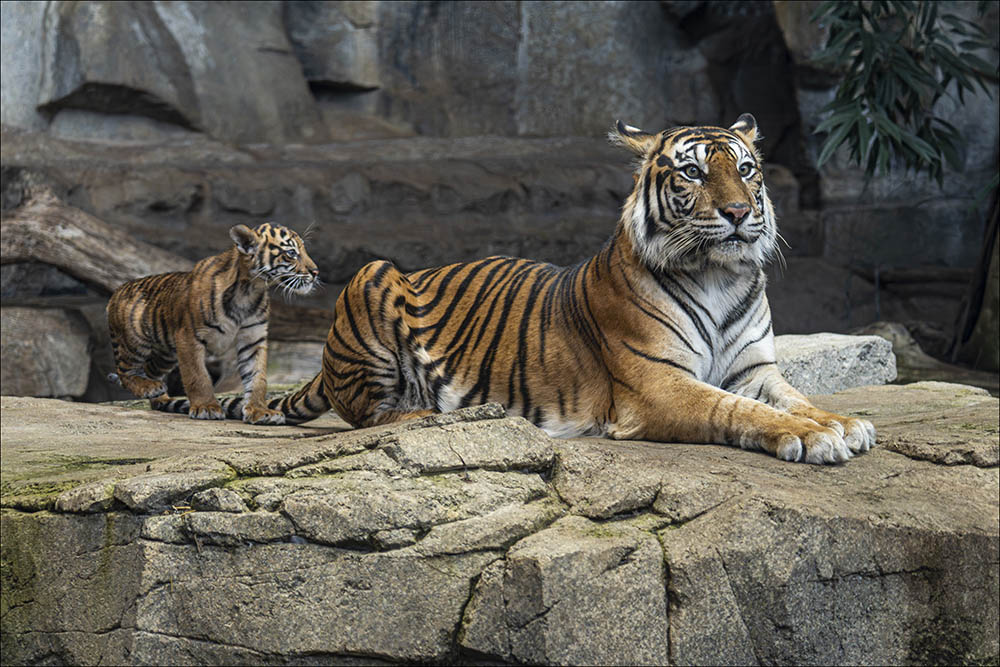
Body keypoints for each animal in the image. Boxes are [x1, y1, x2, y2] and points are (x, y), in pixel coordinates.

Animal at [107, 222, 319, 425]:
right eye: (291, 253)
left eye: (304, 250)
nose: (315, 272)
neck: (251, 289)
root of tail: (117, 291)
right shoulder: (189, 337)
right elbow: (197, 375)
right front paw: (206, 407)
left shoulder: (253, 339)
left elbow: (257, 376)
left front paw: (260, 411)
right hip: (135, 341)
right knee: (125, 371)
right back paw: (147, 388)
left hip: (166, 355)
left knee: (150, 369)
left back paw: (159, 395)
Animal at [271, 114, 876, 464]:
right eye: (694, 173)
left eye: (747, 169)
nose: (738, 212)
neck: (720, 276)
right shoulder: (658, 384)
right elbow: (738, 412)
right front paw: (814, 437)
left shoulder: (755, 370)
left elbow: (798, 398)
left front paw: (845, 423)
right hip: (372, 274)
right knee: (371, 417)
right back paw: (438, 415)